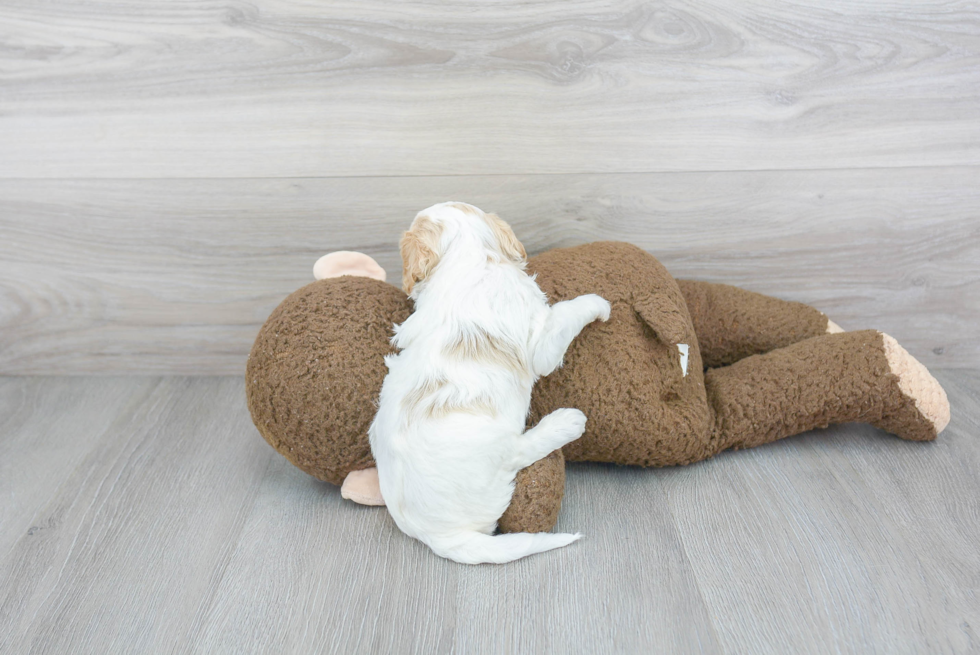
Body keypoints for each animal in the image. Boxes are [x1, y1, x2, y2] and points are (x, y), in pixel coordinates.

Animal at [370, 201, 608, 564]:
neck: (470, 260)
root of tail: (438, 536)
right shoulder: (542, 346)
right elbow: (566, 314)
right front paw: (597, 304)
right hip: (497, 447)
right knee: (519, 451)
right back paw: (565, 422)